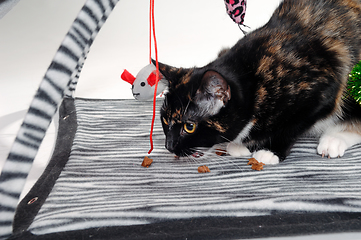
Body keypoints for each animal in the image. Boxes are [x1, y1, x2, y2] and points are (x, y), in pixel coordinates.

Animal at [156, 0, 360, 165]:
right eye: (165, 119)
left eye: (189, 127)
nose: (168, 146)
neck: (253, 77)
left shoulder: (322, 93)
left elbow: (291, 128)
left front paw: (270, 150)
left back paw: (333, 140)